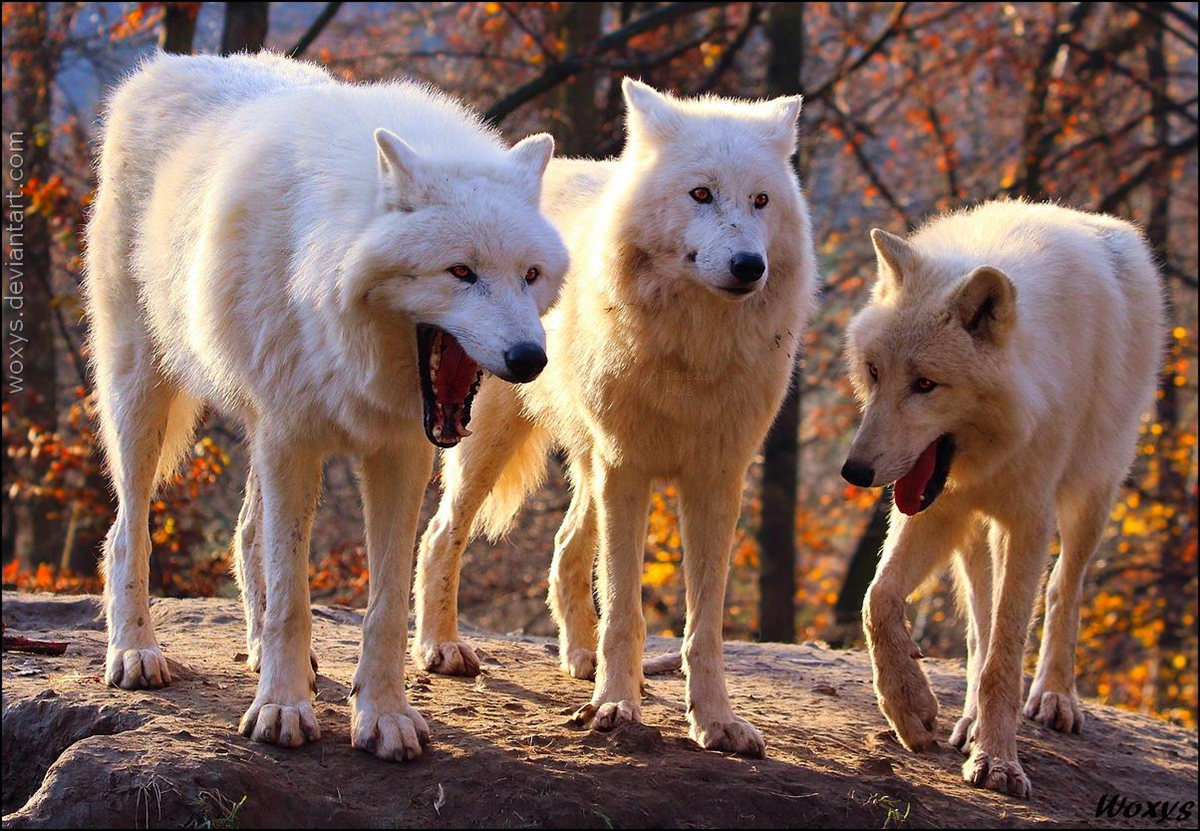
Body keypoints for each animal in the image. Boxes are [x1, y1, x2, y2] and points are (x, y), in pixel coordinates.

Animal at [85, 52, 568, 762]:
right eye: (460, 272)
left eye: (529, 274)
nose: (530, 359)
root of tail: (164, 67)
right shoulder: (294, 438)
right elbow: (294, 597)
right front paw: (282, 710)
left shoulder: (398, 452)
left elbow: (386, 603)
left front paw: (384, 715)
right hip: (144, 395)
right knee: (127, 531)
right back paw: (135, 652)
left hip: (255, 427)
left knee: (245, 532)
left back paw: (257, 651)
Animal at [411, 78, 818, 757]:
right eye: (701, 193)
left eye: (760, 201)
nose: (749, 265)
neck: (692, 352)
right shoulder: (628, 469)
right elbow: (626, 606)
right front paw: (617, 707)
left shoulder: (716, 479)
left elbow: (704, 625)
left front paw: (715, 722)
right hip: (494, 443)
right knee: (442, 534)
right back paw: (441, 648)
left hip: (589, 462)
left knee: (563, 548)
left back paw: (580, 658)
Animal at [842, 201, 1165, 797]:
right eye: (875, 373)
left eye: (925, 385)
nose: (854, 471)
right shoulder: (939, 506)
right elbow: (879, 600)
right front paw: (910, 708)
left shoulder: (1028, 520)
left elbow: (1007, 654)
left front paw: (998, 763)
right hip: (974, 533)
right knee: (978, 624)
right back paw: (967, 719)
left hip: (1092, 494)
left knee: (1062, 588)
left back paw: (1054, 697)